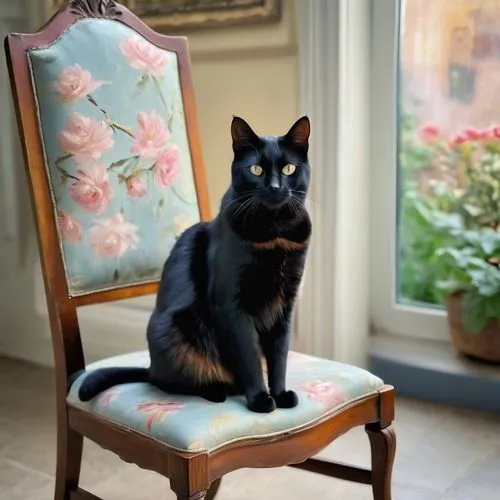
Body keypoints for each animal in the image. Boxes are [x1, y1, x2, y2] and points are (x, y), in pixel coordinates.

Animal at [78, 115, 310, 412]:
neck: (275, 234)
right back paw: (216, 390)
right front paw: (259, 398)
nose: (275, 187)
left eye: (289, 168)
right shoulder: (231, 305)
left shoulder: (285, 305)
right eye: (256, 169)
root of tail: (150, 366)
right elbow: (249, 357)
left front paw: (280, 394)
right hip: (172, 331)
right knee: (166, 381)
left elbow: (278, 356)